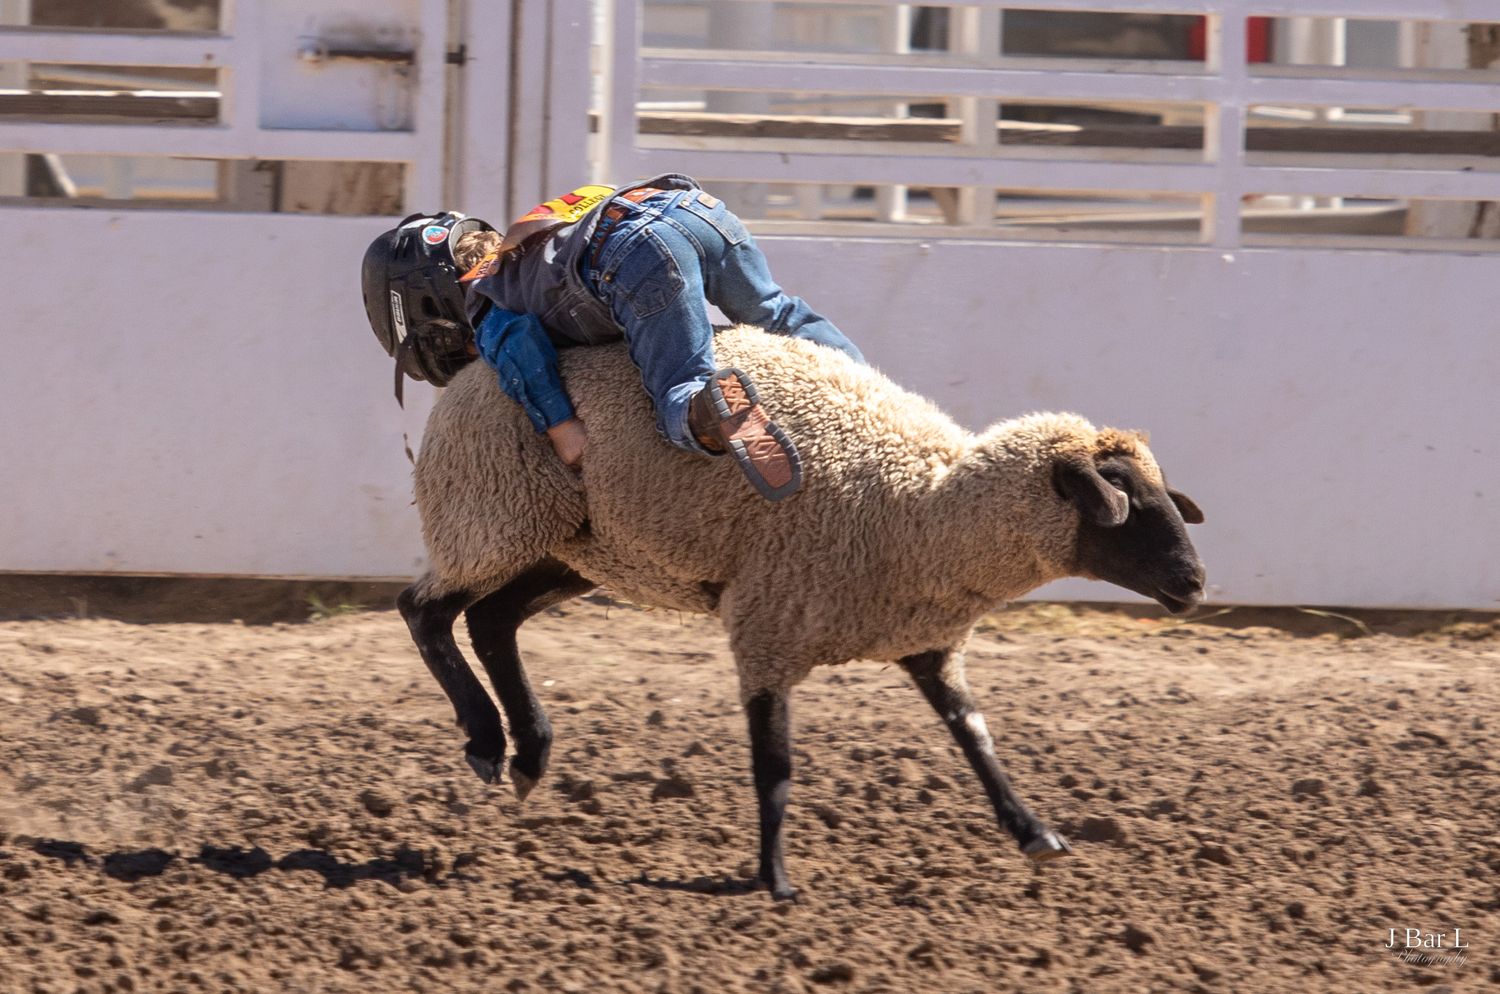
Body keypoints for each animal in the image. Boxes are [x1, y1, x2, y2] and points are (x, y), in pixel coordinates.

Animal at [398, 325, 1206, 900]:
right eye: (1122, 498)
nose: (1194, 582)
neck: (927, 509)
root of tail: (468, 371)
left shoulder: (923, 639)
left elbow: (975, 738)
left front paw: (1034, 832)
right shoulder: (770, 628)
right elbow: (777, 765)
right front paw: (775, 880)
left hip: (570, 551)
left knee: (492, 623)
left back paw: (529, 752)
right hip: (493, 515)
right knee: (426, 612)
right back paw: (485, 740)